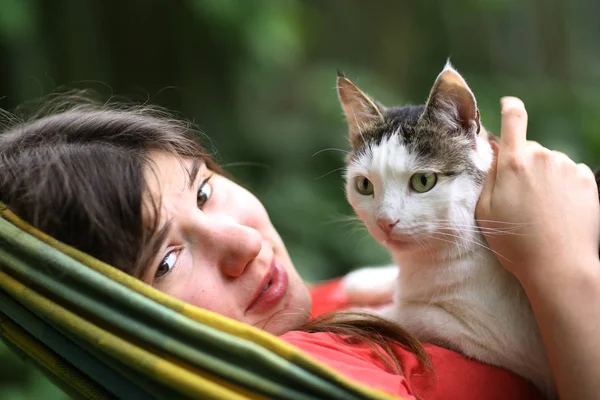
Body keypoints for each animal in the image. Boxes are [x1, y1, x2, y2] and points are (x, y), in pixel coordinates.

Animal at [338, 61, 556, 396]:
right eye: (364, 185)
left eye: (423, 181)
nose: (385, 221)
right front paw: (368, 280)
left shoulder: (499, 338)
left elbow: (411, 314)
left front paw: (361, 313)